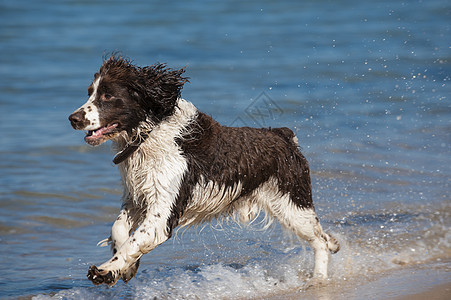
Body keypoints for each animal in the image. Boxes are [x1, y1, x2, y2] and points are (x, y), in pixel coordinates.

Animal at [69, 54, 340, 286]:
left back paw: (319, 277)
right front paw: (127, 268)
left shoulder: (163, 209)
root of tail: (283, 135)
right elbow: (118, 229)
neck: (150, 134)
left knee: (320, 240)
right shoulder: (137, 197)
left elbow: (138, 238)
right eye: (90, 93)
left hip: (292, 203)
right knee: (324, 237)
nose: (73, 119)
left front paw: (106, 270)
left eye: (108, 95)